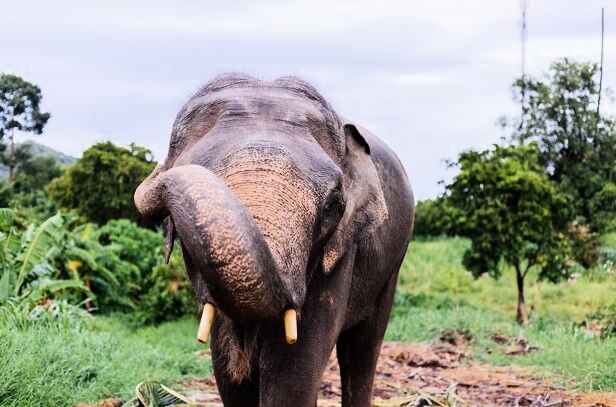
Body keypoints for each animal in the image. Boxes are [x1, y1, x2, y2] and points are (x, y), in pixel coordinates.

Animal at [134, 74, 414, 407]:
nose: (155, 176)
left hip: (392, 266)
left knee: (361, 351)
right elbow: (228, 374)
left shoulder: (340, 252)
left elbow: (292, 372)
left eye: (333, 204)